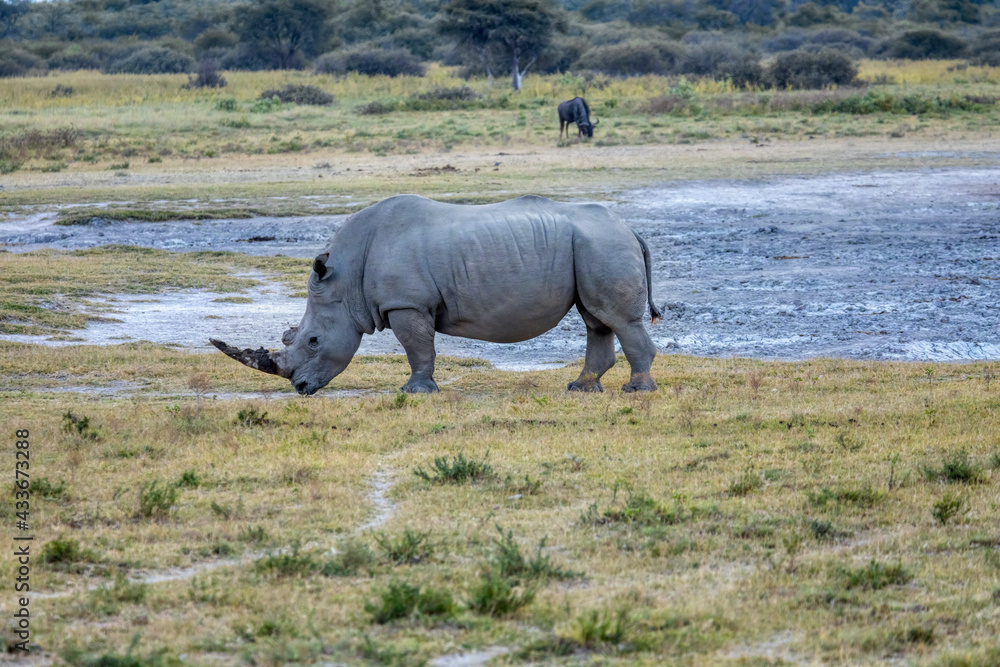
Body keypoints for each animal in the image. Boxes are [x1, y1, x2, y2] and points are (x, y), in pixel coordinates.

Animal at [211, 195, 661, 395]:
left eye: (313, 340)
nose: (301, 388)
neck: (345, 278)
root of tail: (630, 229)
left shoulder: (406, 303)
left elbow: (418, 349)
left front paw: (415, 392)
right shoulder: (407, 303)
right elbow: (421, 348)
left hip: (601, 245)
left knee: (617, 319)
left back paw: (637, 391)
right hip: (593, 246)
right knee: (596, 319)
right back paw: (580, 388)